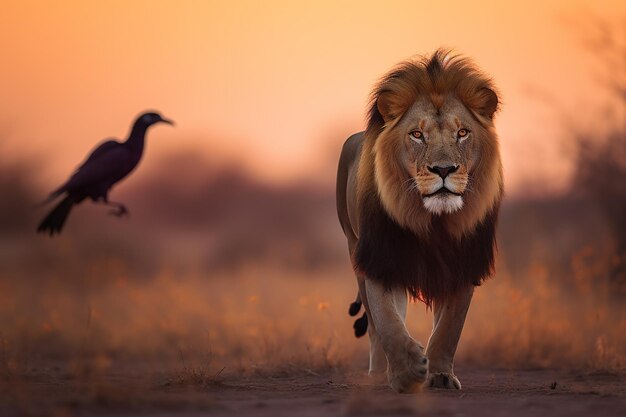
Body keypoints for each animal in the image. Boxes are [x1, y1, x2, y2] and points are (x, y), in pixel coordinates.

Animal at [334, 50, 500, 392]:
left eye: (462, 133)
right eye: (417, 134)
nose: (444, 169)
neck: (432, 221)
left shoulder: (464, 262)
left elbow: (450, 327)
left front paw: (440, 374)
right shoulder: (382, 258)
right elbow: (388, 321)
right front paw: (407, 371)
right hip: (354, 247)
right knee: (373, 327)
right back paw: (378, 373)